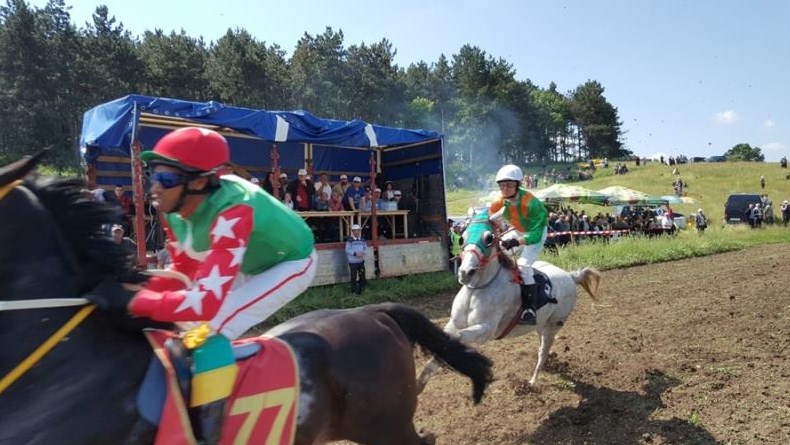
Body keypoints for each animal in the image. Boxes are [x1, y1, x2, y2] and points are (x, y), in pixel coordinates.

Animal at [417, 208, 600, 391]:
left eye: (489, 238)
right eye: (462, 237)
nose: (465, 272)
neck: (478, 289)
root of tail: (571, 276)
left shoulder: (486, 330)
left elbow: (455, 339)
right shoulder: (454, 324)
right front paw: (419, 382)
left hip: (553, 325)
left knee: (543, 350)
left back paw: (533, 380)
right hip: (541, 324)